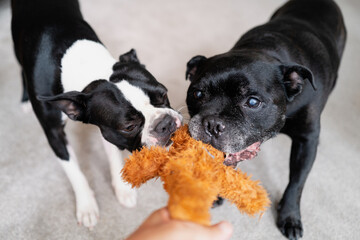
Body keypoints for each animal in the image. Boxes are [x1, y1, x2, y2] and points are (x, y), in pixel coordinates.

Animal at [10, 0, 183, 229]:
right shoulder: (54, 133)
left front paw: (122, 189)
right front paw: (86, 207)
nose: (165, 123)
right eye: (129, 127)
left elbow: (114, 157)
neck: (84, 66)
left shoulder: (107, 131)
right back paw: (24, 100)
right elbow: (74, 171)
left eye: (163, 94)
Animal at [186, 0, 346, 240]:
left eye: (252, 102)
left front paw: (290, 216)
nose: (212, 123)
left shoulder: (306, 141)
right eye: (197, 94)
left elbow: (297, 182)